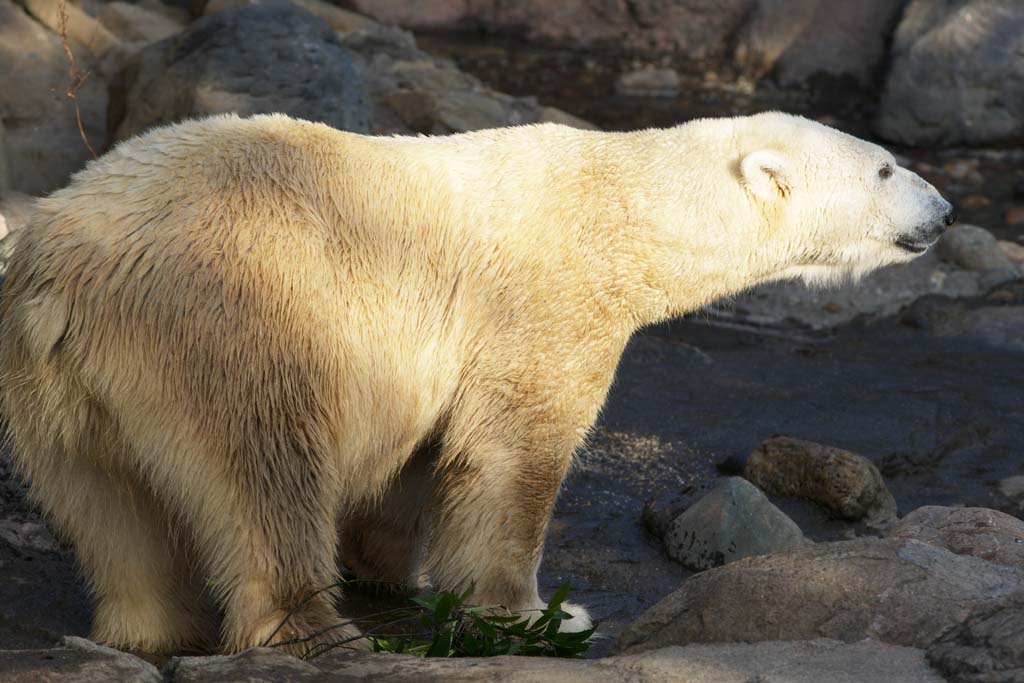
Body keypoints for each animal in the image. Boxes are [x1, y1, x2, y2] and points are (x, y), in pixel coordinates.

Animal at [0, 113, 950, 655]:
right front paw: (538, 614)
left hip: (51, 387)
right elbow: (511, 450)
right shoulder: (541, 300)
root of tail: (66, 268)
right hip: (231, 318)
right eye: (885, 167)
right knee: (263, 473)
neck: (623, 209)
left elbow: (418, 458)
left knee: (108, 506)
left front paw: (395, 565)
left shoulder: (430, 348)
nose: (943, 214)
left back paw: (150, 626)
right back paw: (320, 632)